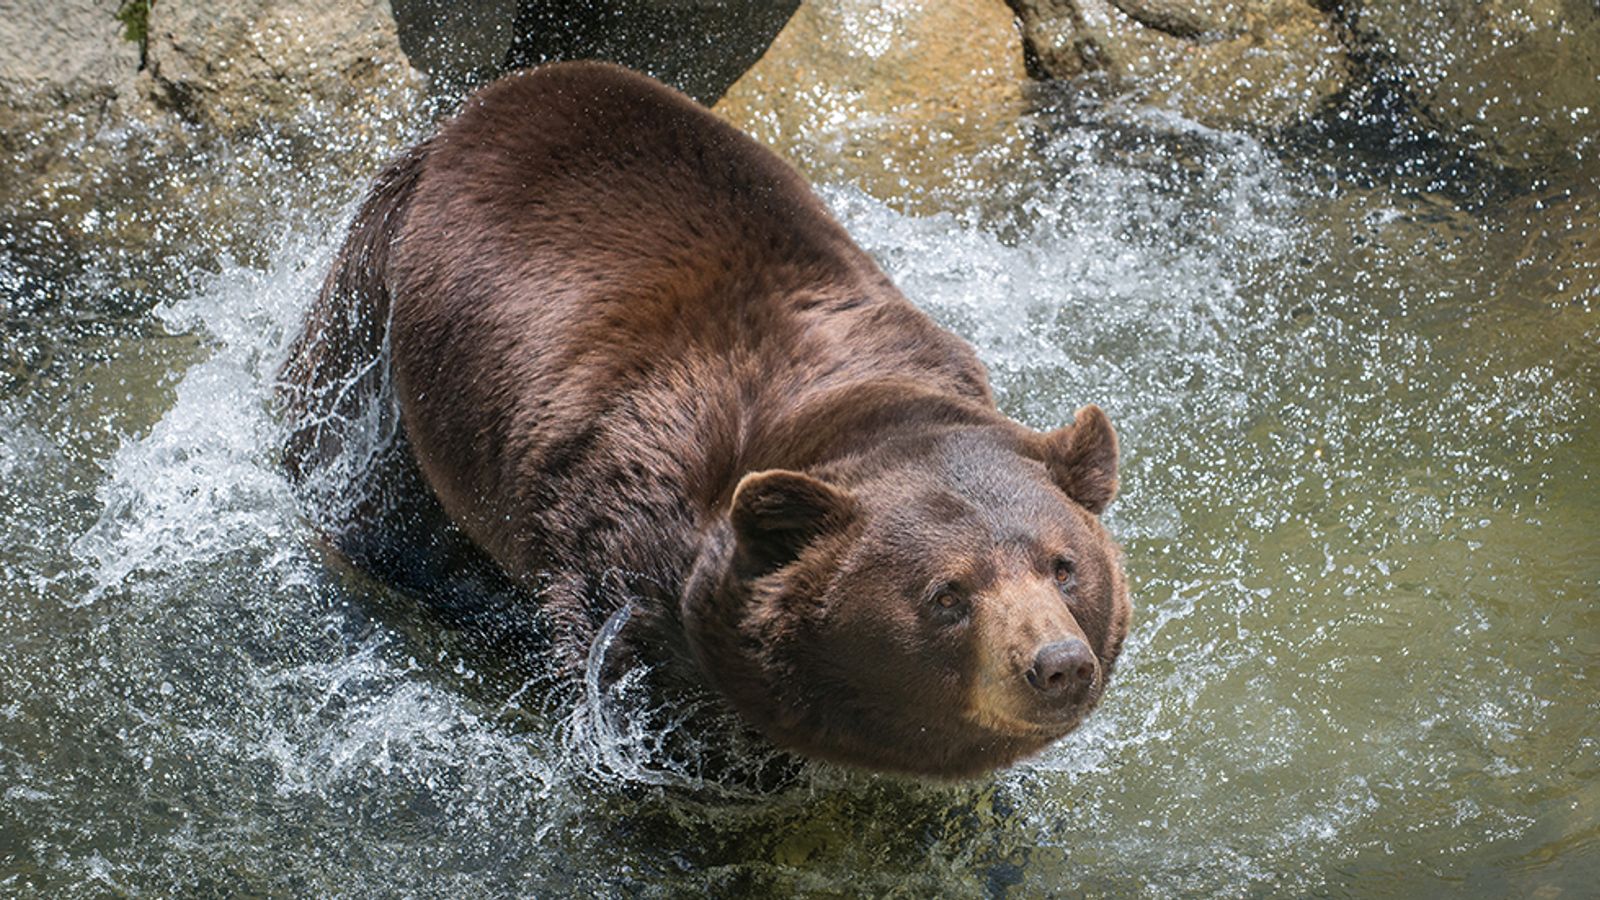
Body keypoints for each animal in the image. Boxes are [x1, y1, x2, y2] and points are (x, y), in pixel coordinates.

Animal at [279, 61, 1131, 779]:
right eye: (947, 593)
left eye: (1064, 565)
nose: (1057, 663)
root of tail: (477, 108)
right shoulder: (626, 515)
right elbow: (624, 664)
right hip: (381, 329)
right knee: (356, 471)